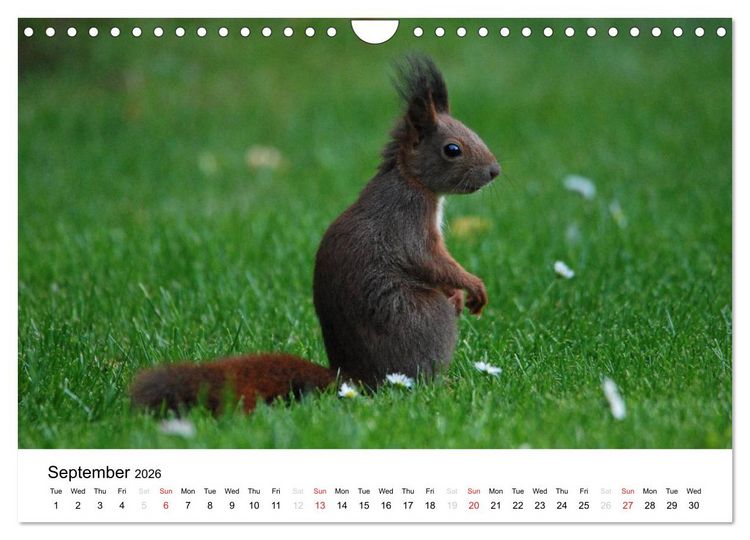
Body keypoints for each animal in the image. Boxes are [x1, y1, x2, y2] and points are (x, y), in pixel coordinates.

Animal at [130, 55, 500, 414]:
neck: (411, 180)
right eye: (452, 149)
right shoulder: (408, 220)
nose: (495, 171)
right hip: (427, 320)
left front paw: (459, 293)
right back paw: (444, 385)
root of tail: (357, 379)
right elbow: (430, 261)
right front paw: (472, 286)